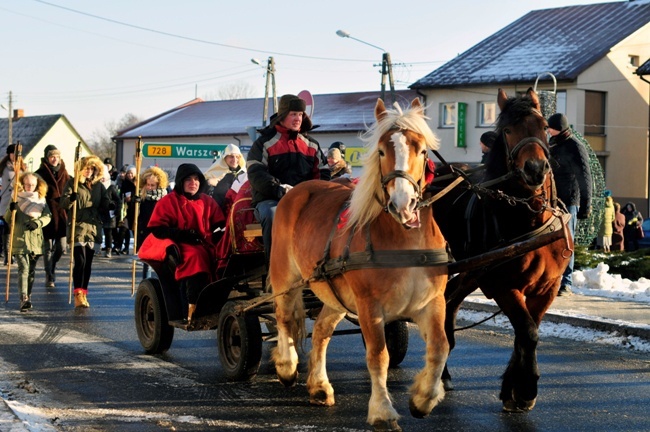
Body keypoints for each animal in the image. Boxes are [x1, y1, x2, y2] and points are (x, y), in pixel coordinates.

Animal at [270, 98, 448, 432]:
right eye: (381, 151)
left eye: (422, 151)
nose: (402, 204)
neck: (405, 238)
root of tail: (298, 189)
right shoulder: (369, 306)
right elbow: (378, 355)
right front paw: (382, 411)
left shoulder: (432, 302)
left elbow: (440, 347)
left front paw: (423, 399)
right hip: (284, 277)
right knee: (284, 317)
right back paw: (287, 366)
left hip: (333, 293)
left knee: (322, 331)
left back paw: (319, 386)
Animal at [432, 87, 568, 412]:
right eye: (507, 130)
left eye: (543, 126)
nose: (535, 169)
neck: (529, 218)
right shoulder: (503, 285)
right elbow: (527, 331)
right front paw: (526, 388)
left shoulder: (547, 287)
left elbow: (526, 332)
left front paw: (513, 388)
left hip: (471, 270)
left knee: (449, 300)